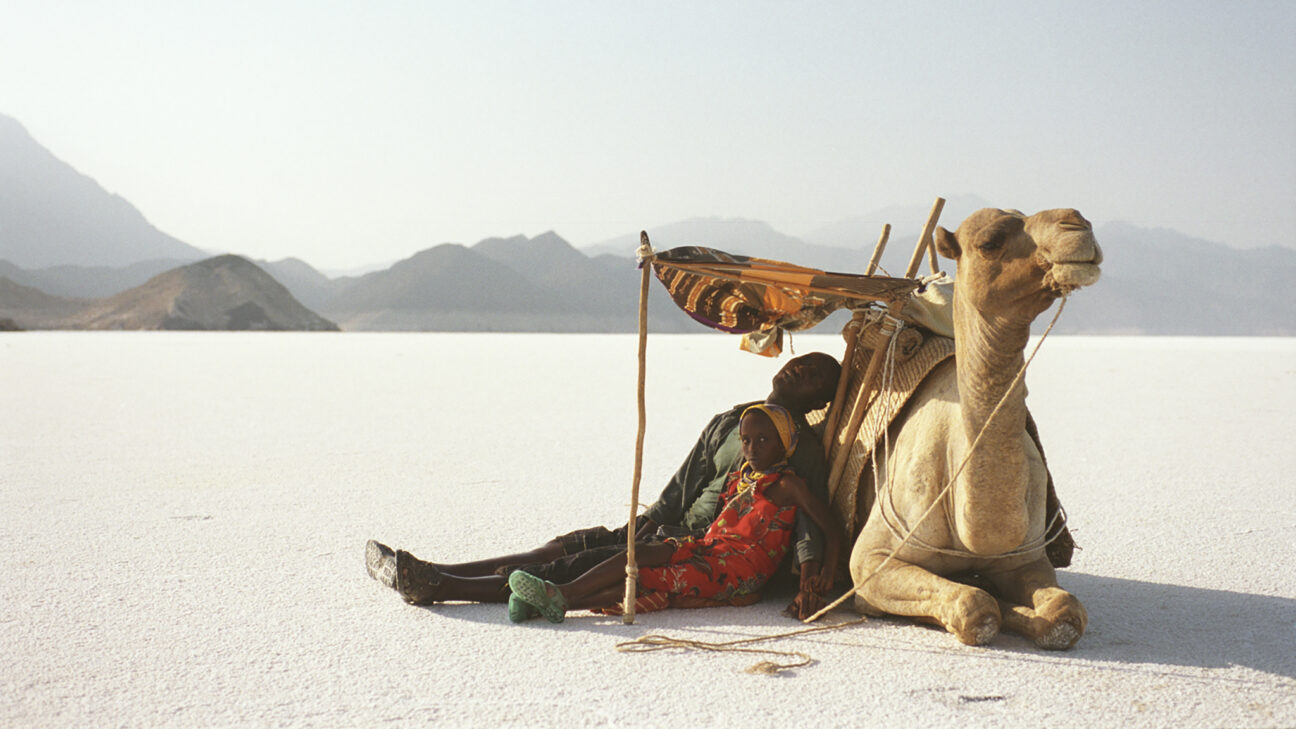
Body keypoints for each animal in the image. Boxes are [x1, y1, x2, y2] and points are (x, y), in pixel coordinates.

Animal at [846, 207, 1102, 649]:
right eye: (990, 242)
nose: (1076, 223)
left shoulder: (1026, 558)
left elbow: (1064, 612)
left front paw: (1019, 610)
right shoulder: (871, 560)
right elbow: (975, 606)